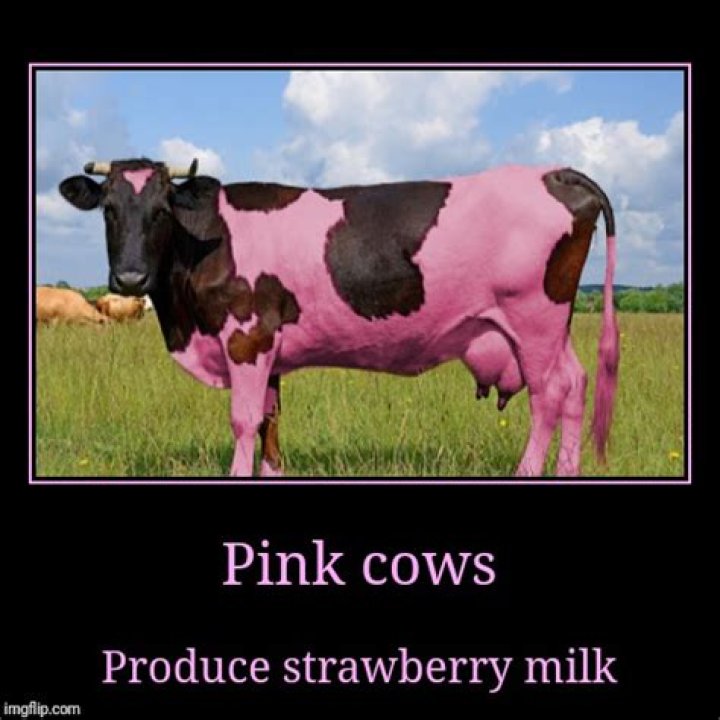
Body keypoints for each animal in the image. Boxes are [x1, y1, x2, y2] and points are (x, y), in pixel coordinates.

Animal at [58, 158, 619, 477]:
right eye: (108, 209)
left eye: (162, 210)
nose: (130, 278)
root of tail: (551, 172)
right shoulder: (272, 347)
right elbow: (270, 422)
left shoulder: (246, 336)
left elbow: (244, 420)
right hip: (551, 326)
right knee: (575, 383)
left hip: (534, 317)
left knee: (548, 395)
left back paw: (528, 471)